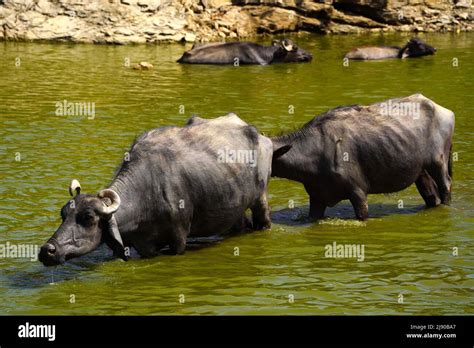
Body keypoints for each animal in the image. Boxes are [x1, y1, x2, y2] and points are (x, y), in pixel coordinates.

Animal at [39, 113, 288, 266]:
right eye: (63, 214)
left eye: (89, 217)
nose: (47, 250)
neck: (146, 191)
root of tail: (260, 136)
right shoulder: (145, 246)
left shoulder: (178, 238)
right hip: (232, 206)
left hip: (260, 199)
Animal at [270, 94, 452, 220]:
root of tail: (443, 110)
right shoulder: (317, 199)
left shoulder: (358, 192)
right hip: (421, 171)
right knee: (431, 195)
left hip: (438, 163)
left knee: (446, 186)